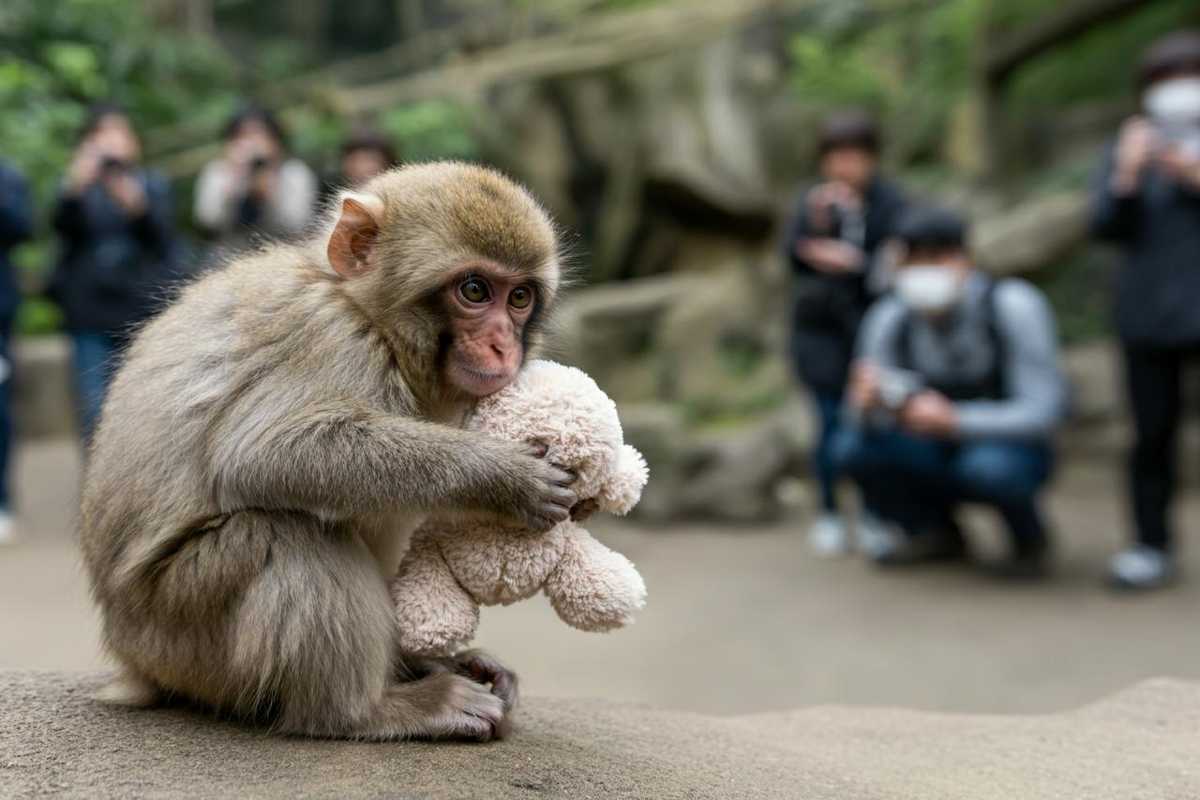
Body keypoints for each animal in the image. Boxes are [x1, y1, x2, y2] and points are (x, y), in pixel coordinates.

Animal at [79, 162, 579, 741]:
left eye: (519, 298)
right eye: (475, 290)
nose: (503, 346)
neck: (367, 313)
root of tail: (131, 655)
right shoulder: (333, 339)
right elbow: (262, 453)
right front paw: (504, 478)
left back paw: (416, 664)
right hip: (181, 631)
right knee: (284, 533)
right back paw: (370, 710)